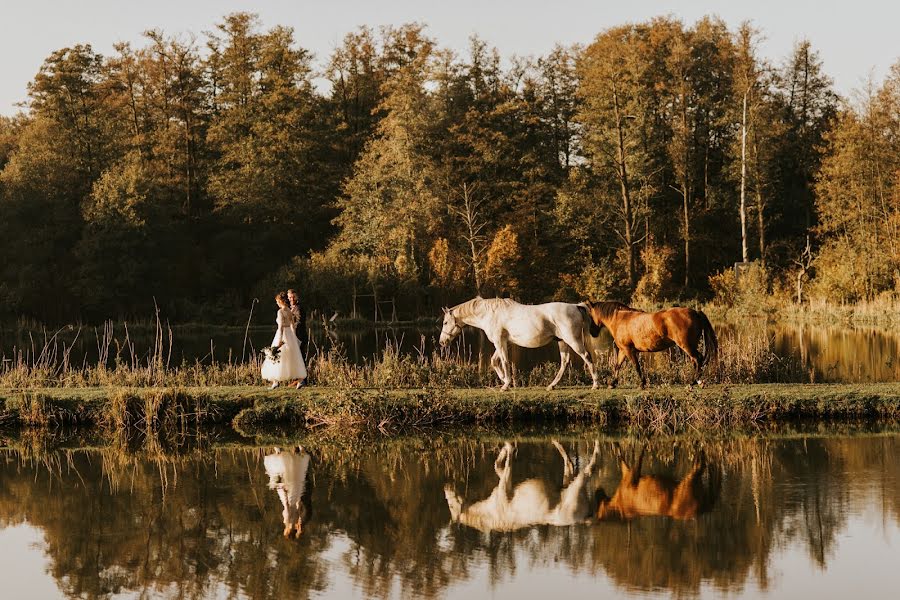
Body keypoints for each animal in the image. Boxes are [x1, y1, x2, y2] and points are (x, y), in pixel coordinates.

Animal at [438, 298, 596, 392]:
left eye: (445, 322)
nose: (442, 342)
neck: (489, 314)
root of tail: (576, 306)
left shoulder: (499, 342)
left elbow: (504, 362)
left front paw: (505, 384)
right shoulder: (501, 342)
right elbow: (494, 361)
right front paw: (504, 380)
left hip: (572, 340)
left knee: (587, 357)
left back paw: (595, 384)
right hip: (562, 342)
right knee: (565, 362)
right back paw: (551, 386)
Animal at [446, 440, 600, 528]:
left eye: (451, 505)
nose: (446, 486)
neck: (491, 513)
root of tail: (582, 520)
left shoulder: (504, 489)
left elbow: (506, 462)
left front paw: (509, 447)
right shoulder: (505, 485)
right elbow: (498, 465)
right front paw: (504, 450)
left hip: (577, 486)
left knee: (590, 468)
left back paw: (597, 444)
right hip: (567, 482)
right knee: (569, 463)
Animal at [584, 300, 716, 390]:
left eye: (590, 316)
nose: (592, 332)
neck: (621, 319)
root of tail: (696, 313)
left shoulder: (628, 350)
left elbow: (636, 366)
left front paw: (642, 384)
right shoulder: (623, 350)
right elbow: (617, 366)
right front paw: (613, 383)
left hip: (686, 345)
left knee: (697, 359)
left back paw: (693, 383)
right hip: (690, 345)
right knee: (696, 361)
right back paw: (698, 382)